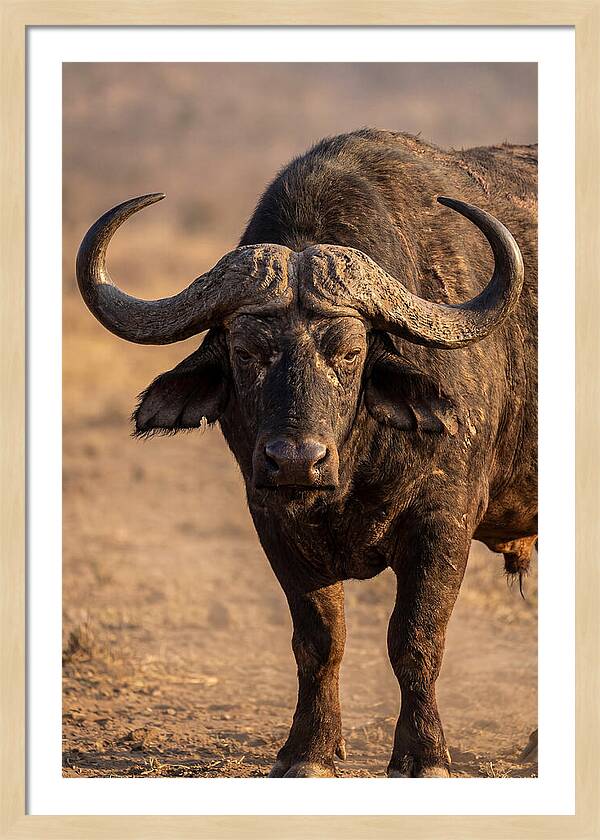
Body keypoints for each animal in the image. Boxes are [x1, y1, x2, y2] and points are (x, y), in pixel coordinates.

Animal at [76, 129, 537, 778]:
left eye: (349, 352)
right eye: (246, 351)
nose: (295, 460)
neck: (352, 468)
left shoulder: (443, 522)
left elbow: (416, 638)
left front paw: (424, 755)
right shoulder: (272, 521)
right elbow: (319, 641)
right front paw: (310, 751)